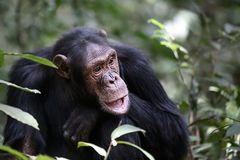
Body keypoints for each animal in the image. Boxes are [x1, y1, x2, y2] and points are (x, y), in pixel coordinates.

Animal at [2, 27, 188, 160]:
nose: (112, 79)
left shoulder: (138, 65)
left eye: (111, 61)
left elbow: (173, 127)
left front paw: (89, 113)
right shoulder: (25, 78)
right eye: (97, 69)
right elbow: (25, 145)